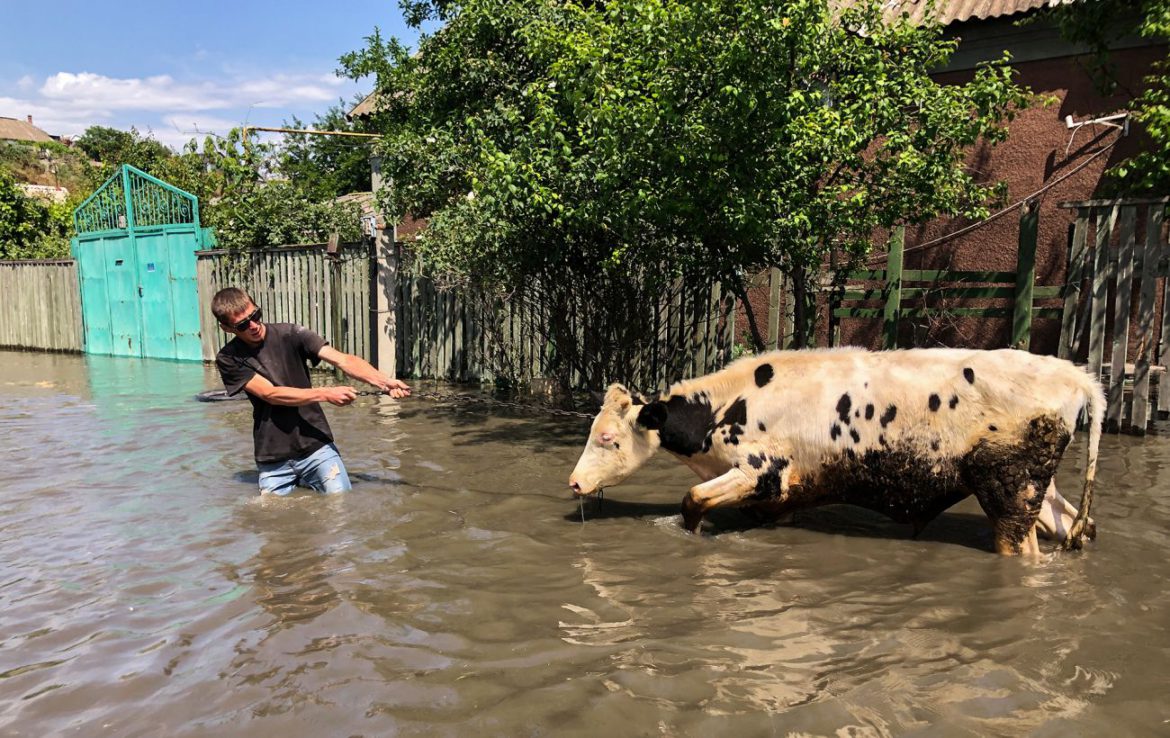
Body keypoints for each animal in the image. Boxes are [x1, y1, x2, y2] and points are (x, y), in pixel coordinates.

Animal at [570, 348, 1099, 556]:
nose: (574, 482)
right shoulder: (782, 496)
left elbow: (692, 501)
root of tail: (1075, 376)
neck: (727, 405)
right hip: (1038, 491)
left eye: (608, 438)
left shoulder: (762, 471)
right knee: (1081, 525)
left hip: (1010, 493)